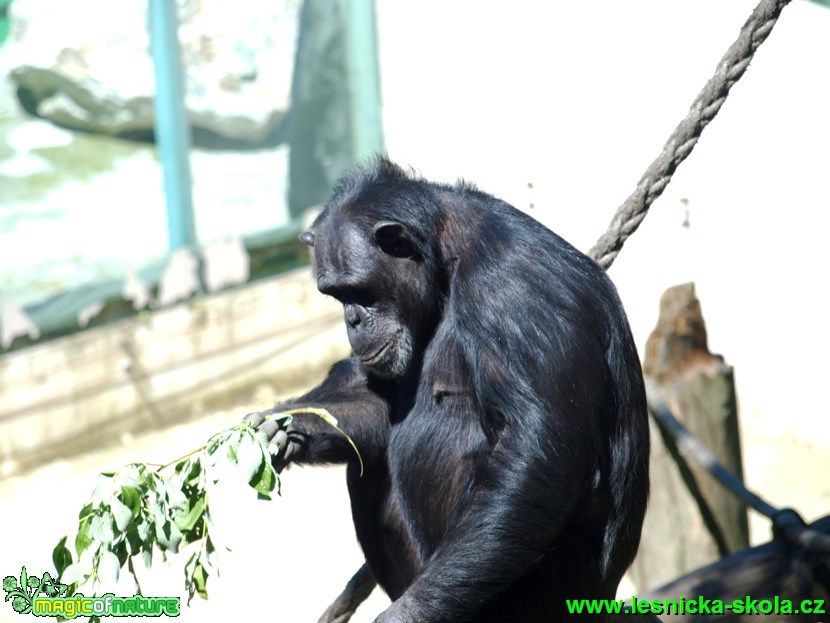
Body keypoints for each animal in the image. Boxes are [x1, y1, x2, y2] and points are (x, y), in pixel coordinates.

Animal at [245, 158, 648, 620]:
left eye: (358, 291)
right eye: (335, 295)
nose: (352, 319)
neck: (444, 261)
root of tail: (603, 594)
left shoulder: (511, 291)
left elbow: (536, 444)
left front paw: (407, 612)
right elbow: (382, 403)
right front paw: (283, 427)